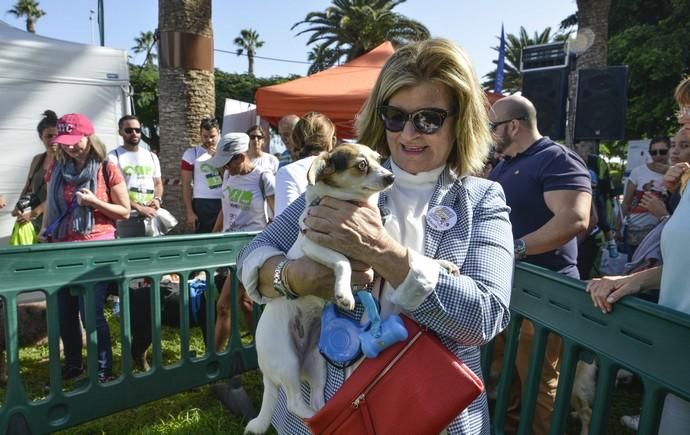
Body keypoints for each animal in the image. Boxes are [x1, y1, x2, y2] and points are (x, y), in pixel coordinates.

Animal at [243, 145, 392, 434]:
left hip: (317, 363)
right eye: (361, 165)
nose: (391, 176)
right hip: (287, 360)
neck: (351, 207)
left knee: (316, 398)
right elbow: (343, 261)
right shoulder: (315, 247)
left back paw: (324, 415)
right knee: (293, 403)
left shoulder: (373, 255)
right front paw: (344, 294)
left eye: (380, 160)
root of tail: (267, 376)